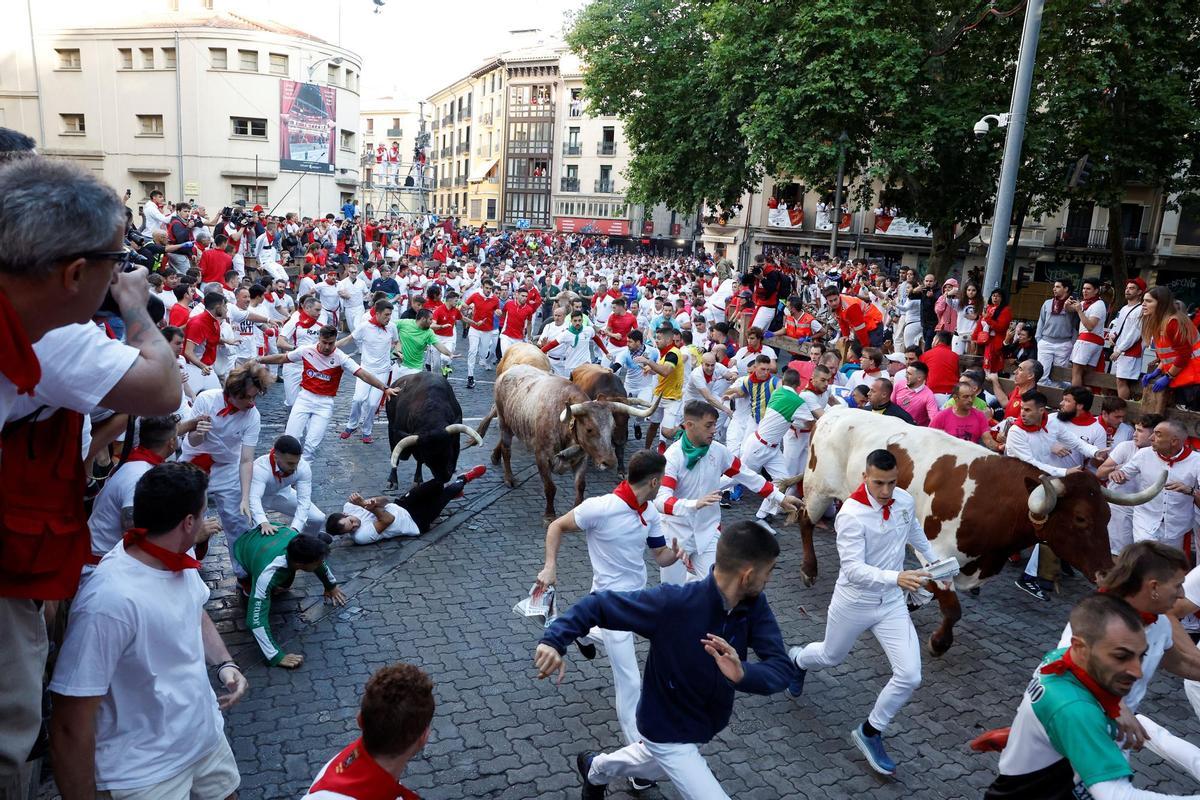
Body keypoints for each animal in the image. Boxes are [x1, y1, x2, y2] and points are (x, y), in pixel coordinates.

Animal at [487, 364, 657, 520]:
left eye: (612, 426)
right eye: (589, 429)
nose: (609, 462)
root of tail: (511, 370)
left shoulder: (582, 458)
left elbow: (580, 485)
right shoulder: (541, 456)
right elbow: (550, 487)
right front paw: (549, 515)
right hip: (504, 423)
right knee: (506, 450)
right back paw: (509, 477)